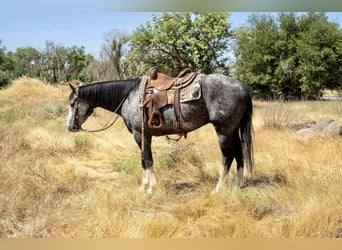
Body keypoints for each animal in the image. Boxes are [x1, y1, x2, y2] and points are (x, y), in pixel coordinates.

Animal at [67, 73, 254, 194]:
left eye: (72, 103)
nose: (70, 127)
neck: (129, 97)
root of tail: (243, 87)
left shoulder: (140, 134)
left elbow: (146, 159)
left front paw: (149, 187)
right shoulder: (145, 136)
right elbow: (145, 160)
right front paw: (145, 186)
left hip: (223, 131)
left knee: (228, 158)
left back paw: (218, 189)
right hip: (233, 130)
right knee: (239, 155)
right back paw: (238, 185)